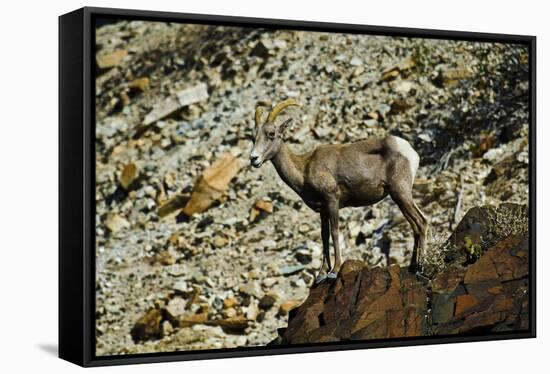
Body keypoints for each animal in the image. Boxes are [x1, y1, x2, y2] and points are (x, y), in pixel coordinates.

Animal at [251, 99, 432, 284]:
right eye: (253, 137)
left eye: (271, 134)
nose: (253, 159)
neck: (304, 168)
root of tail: (409, 151)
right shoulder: (322, 209)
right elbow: (324, 237)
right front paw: (321, 274)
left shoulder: (332, 201)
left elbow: (335, 233)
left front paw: (334, 270)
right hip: (399, 198)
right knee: (415, 226)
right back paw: (412, 267)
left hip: (401, 193)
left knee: (422, 222)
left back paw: (420, 268)